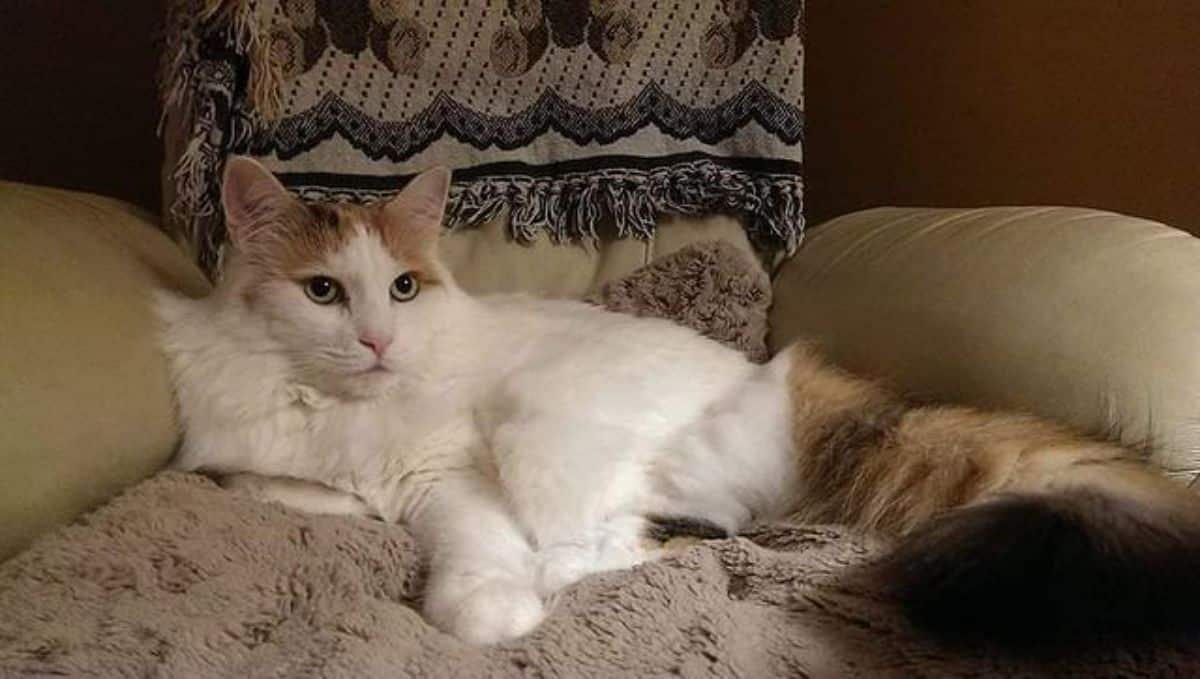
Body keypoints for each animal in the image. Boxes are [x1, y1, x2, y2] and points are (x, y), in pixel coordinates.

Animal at [154, 155, 1200, 647]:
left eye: (403, 288)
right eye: (324, 291)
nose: (377, 340)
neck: (348, 410)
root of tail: (767, 378)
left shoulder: (458, 478)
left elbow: (476, 558)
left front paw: (490, 612)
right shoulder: (245, 460)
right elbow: (267, 484)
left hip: (548, 434)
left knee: (657, 536)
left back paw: (551, 577)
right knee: (689, 531)